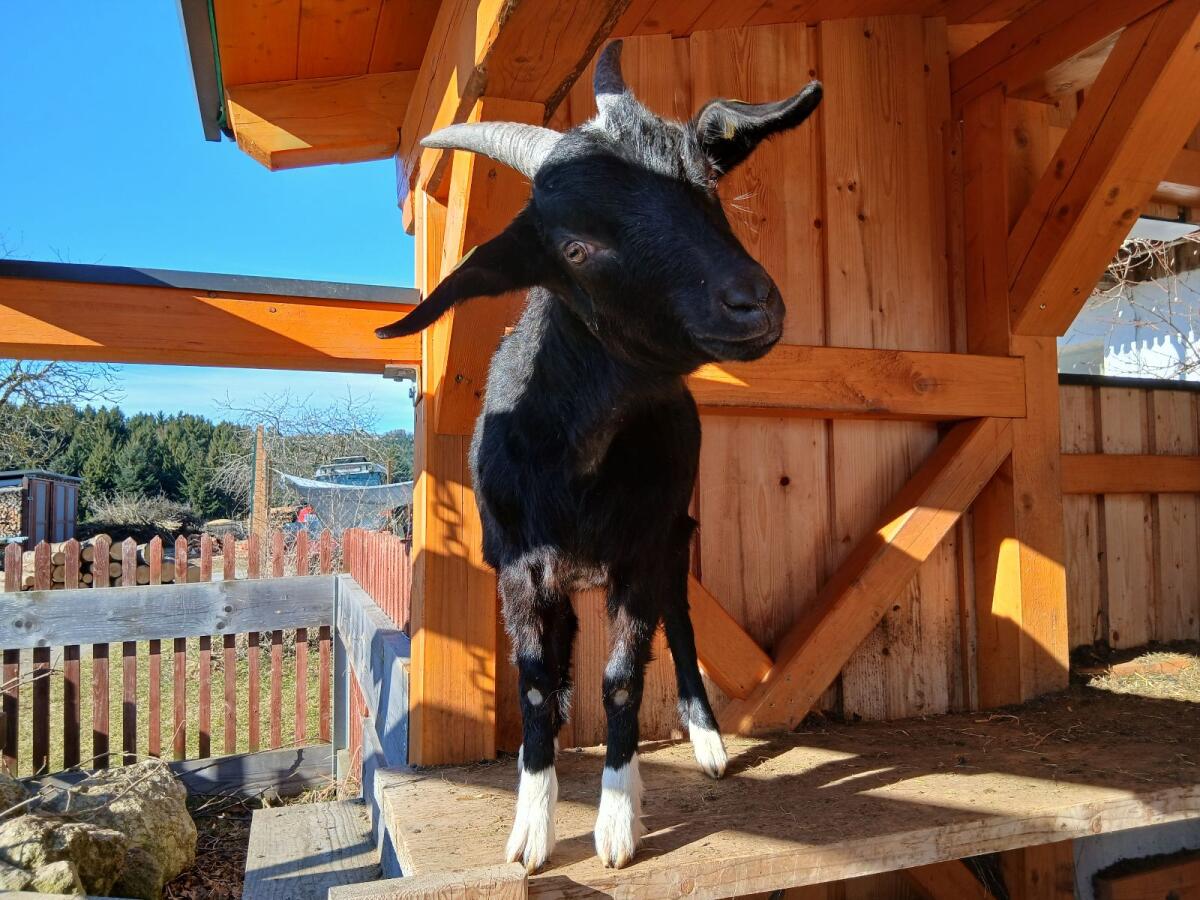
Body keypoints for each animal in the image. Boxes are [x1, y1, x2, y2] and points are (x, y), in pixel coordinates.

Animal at [377, 40, 821, 872]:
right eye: (576, 247)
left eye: (707, 183)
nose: (752, 302)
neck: (571, 459)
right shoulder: (516, 565)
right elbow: (533, 684)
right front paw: (532, 826)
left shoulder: (640, 551)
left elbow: (620, 679)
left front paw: (616, 822)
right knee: (564, 656)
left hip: (671, 533)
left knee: (675, 620)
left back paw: (704, 743)